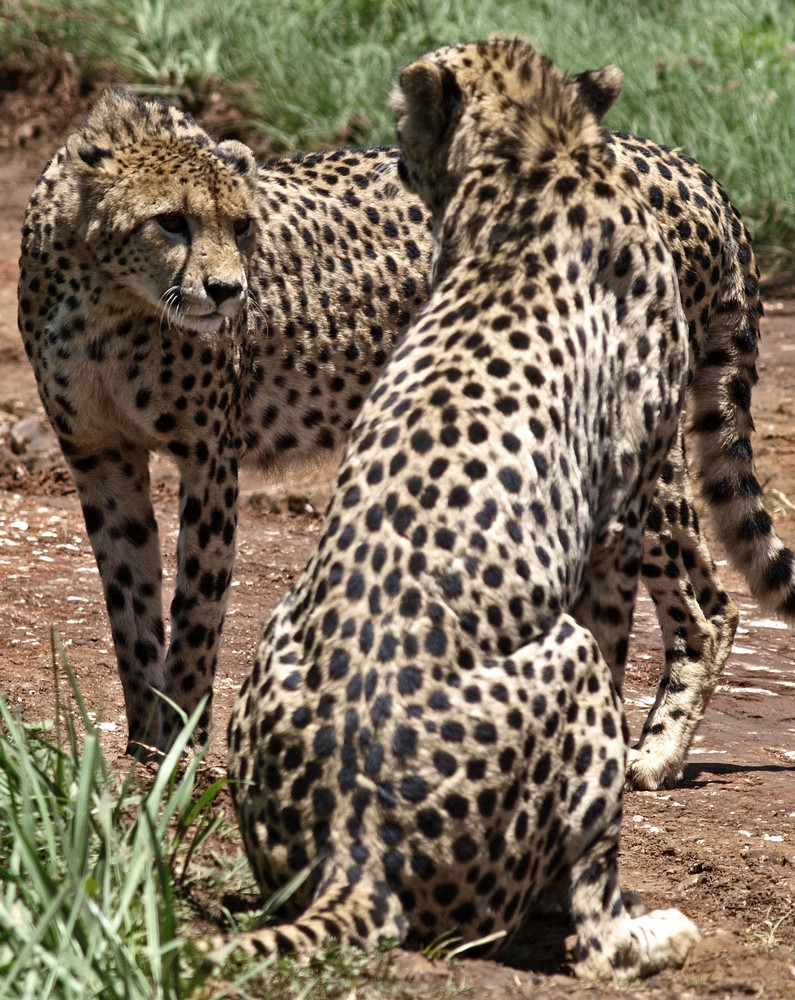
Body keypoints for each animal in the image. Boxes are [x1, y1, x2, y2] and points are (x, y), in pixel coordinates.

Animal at [18, 74, 788, 788]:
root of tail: (682, 163)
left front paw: (175, 754)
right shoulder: (100, 457)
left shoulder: (210, 458)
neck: (111, 295)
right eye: (170, 221)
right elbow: (130, 606)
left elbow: (197, 611)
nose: (228, 291)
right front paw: (139, 751)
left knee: (707, 611)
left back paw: (651, 755)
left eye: (240, 226)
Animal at [222, 37, 696, 976]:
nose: (396, 155)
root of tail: (353, 845)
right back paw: (650, 933)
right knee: (596, 932)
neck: (539, 156)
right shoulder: (618, 515)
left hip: (276, 636)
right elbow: (619, 636)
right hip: (565, 658)